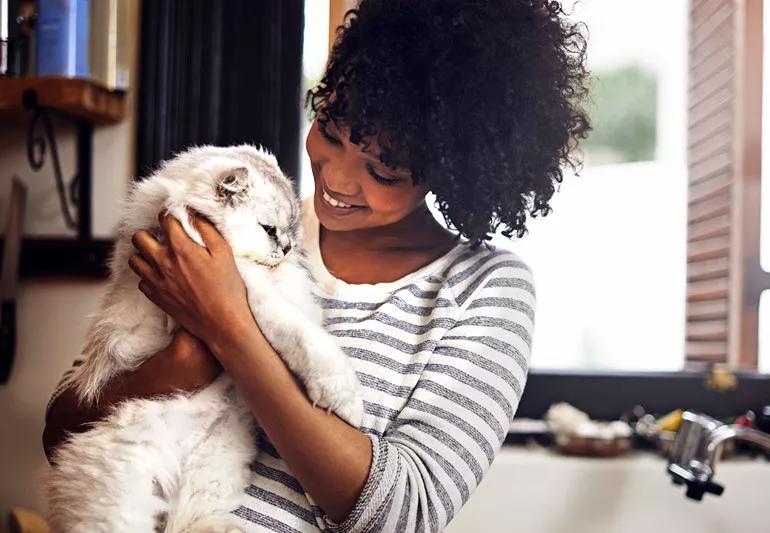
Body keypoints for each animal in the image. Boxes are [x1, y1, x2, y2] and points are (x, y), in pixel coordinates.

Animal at [46, 144, 364, 532]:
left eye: (291, 231)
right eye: (269, 229)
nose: (287, 248)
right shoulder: (249, 292)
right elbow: (305, 338)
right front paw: (345, 399)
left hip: (211, 477)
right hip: (123, 496)